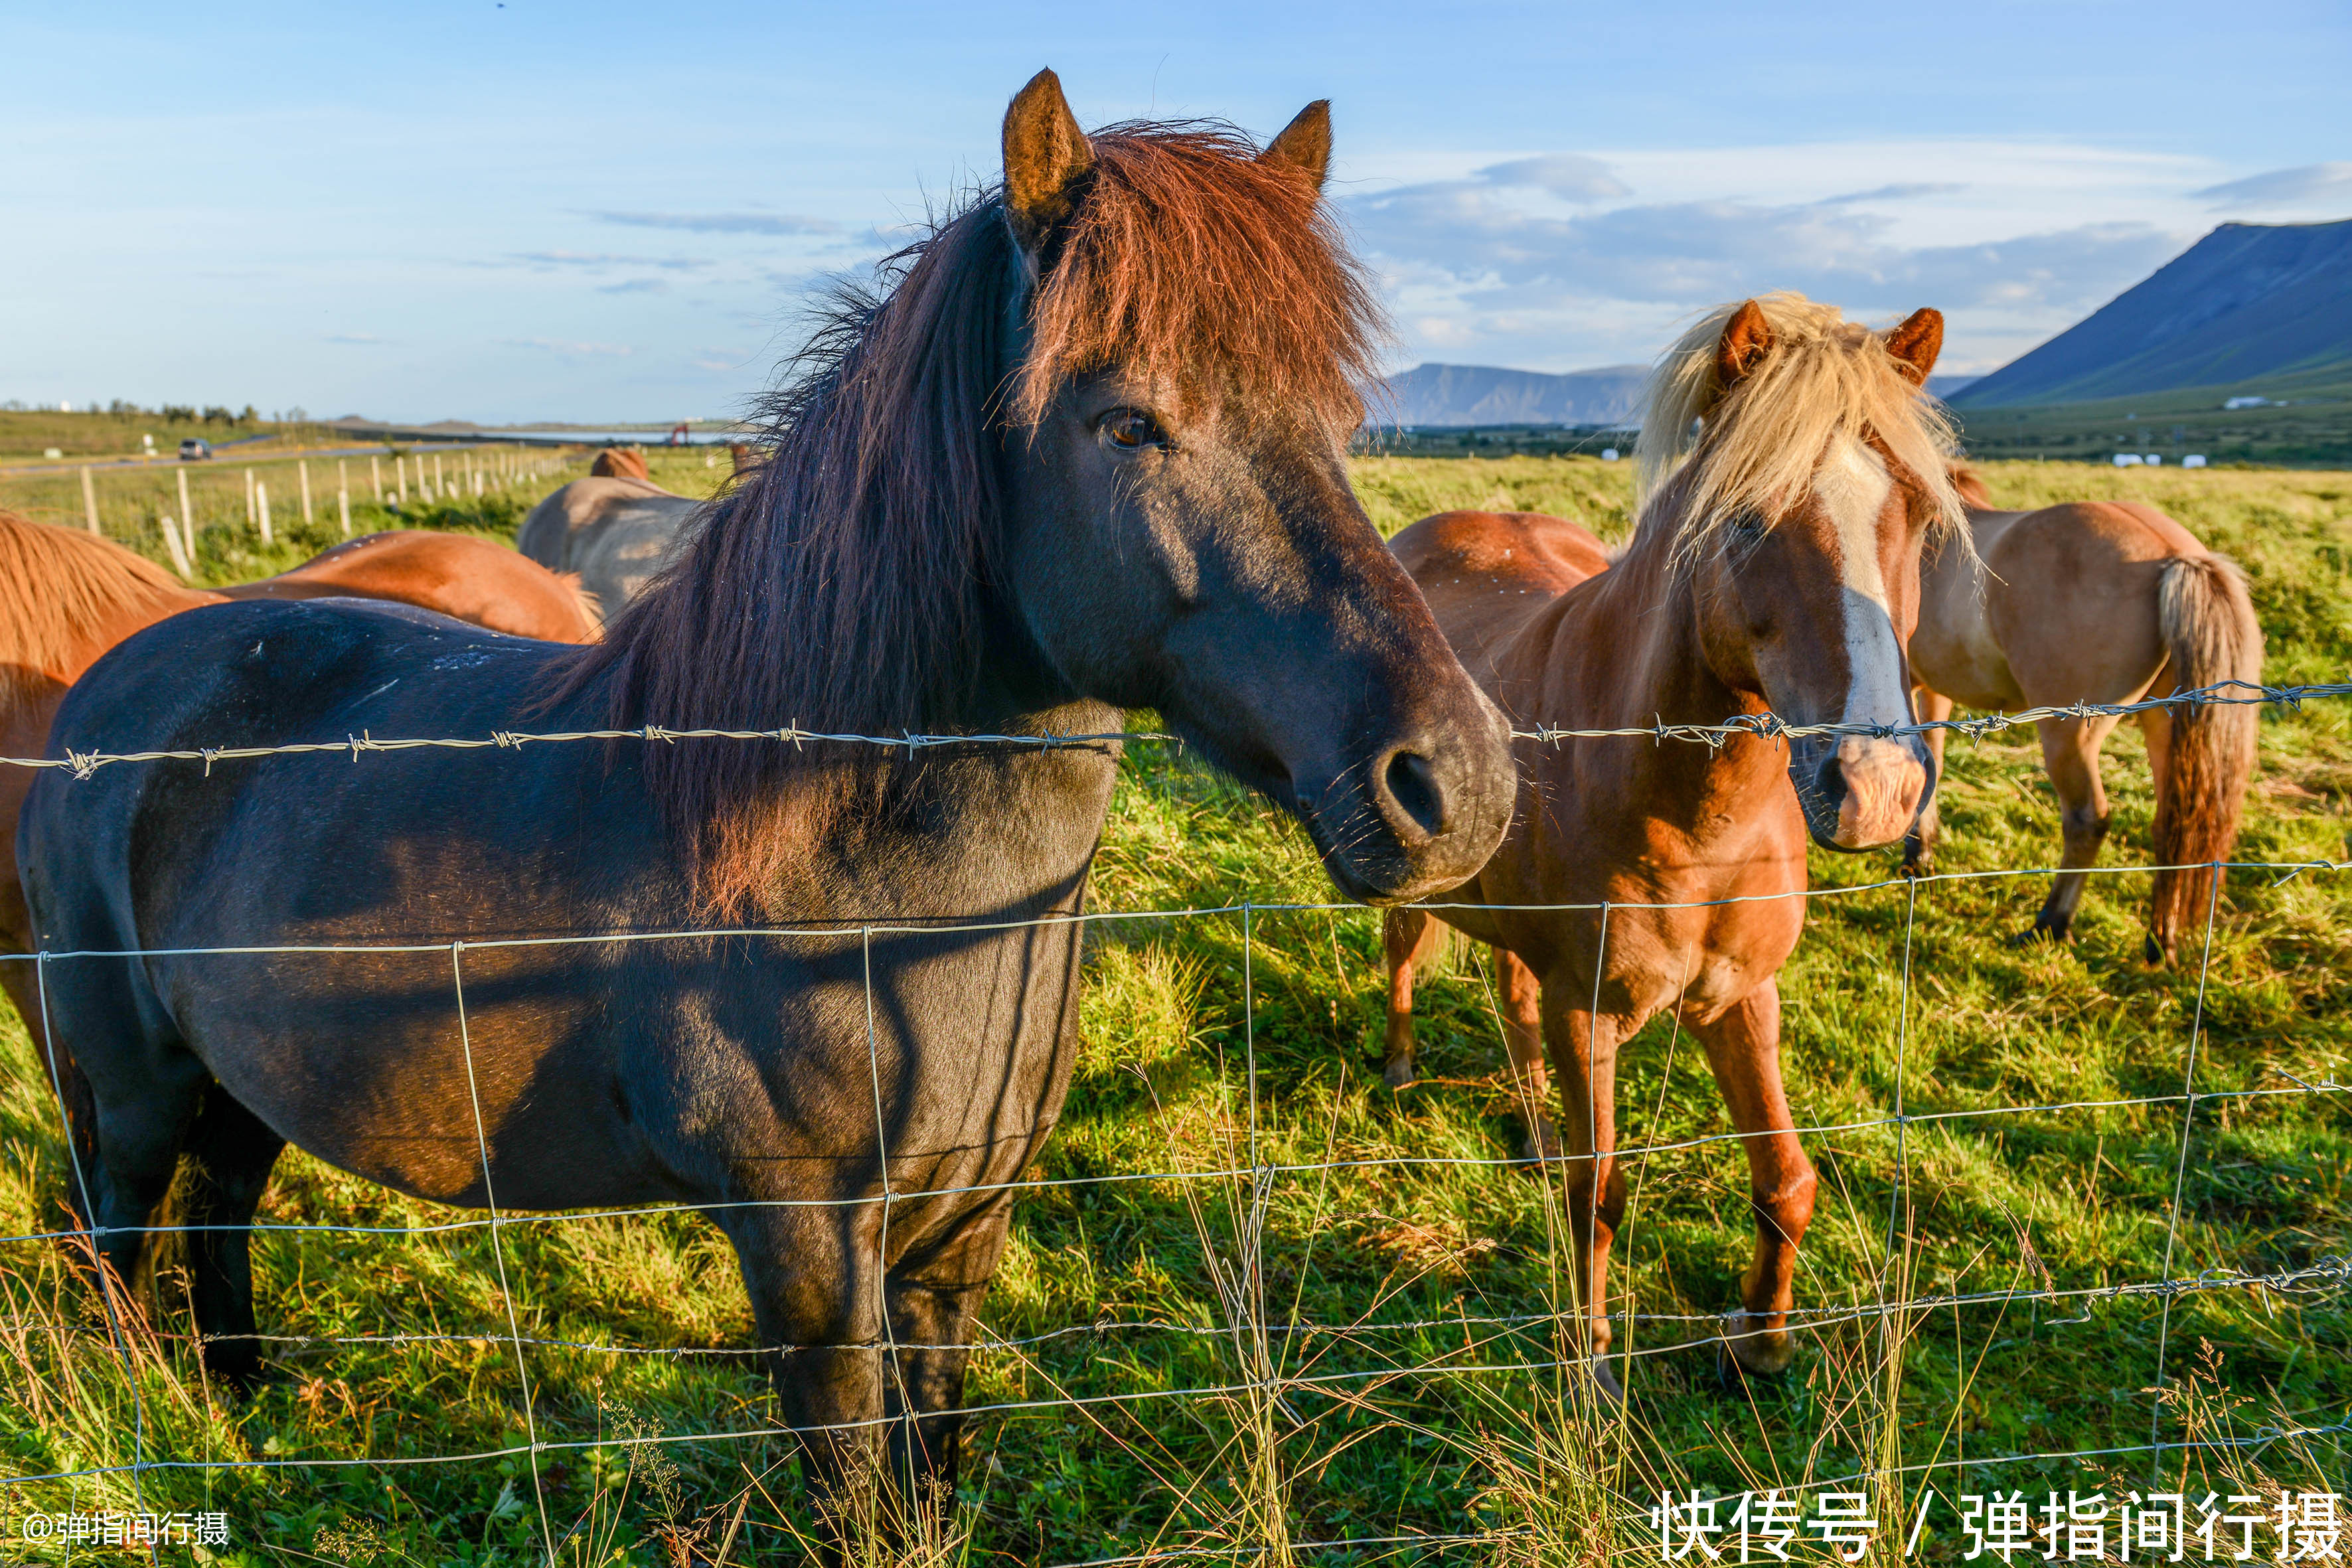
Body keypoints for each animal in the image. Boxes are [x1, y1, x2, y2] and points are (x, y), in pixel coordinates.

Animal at [18, 76, 1514, 1542]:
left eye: (1337, 426)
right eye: (1127, 422)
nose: (1456, 782)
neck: (870, 903)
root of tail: (105, 693)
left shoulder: (955, 1241)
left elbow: (932, 1472)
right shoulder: (805, 1255)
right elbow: (856, 1493)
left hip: (236, 1079)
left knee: (223, 1213)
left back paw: (246, 1409)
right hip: (130, 1085)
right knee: (120, 1240)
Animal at [1383, 293, 1956, 1401]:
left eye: (1914, 514)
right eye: (1743, 517)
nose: (1874, 787)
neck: (1692, 824)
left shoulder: (1740, 997)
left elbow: (1784, 1176)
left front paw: (1760, 1338)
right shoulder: (1588, 1013)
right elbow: (1596, 1191)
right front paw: (1589, 1368)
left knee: (1508, 995)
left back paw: (1525, 1128)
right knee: (1399, 951)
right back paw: (1394, 1067)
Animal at [1900, 461, 2267, 963]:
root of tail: (2175, 557)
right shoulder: (1932, 689)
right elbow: (1930, 761)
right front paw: (1920, 852)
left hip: (2070, 734)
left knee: (2087, 820)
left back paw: (2050, 923)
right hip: (2166, 724)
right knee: (2172, 826)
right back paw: (2161, 941)